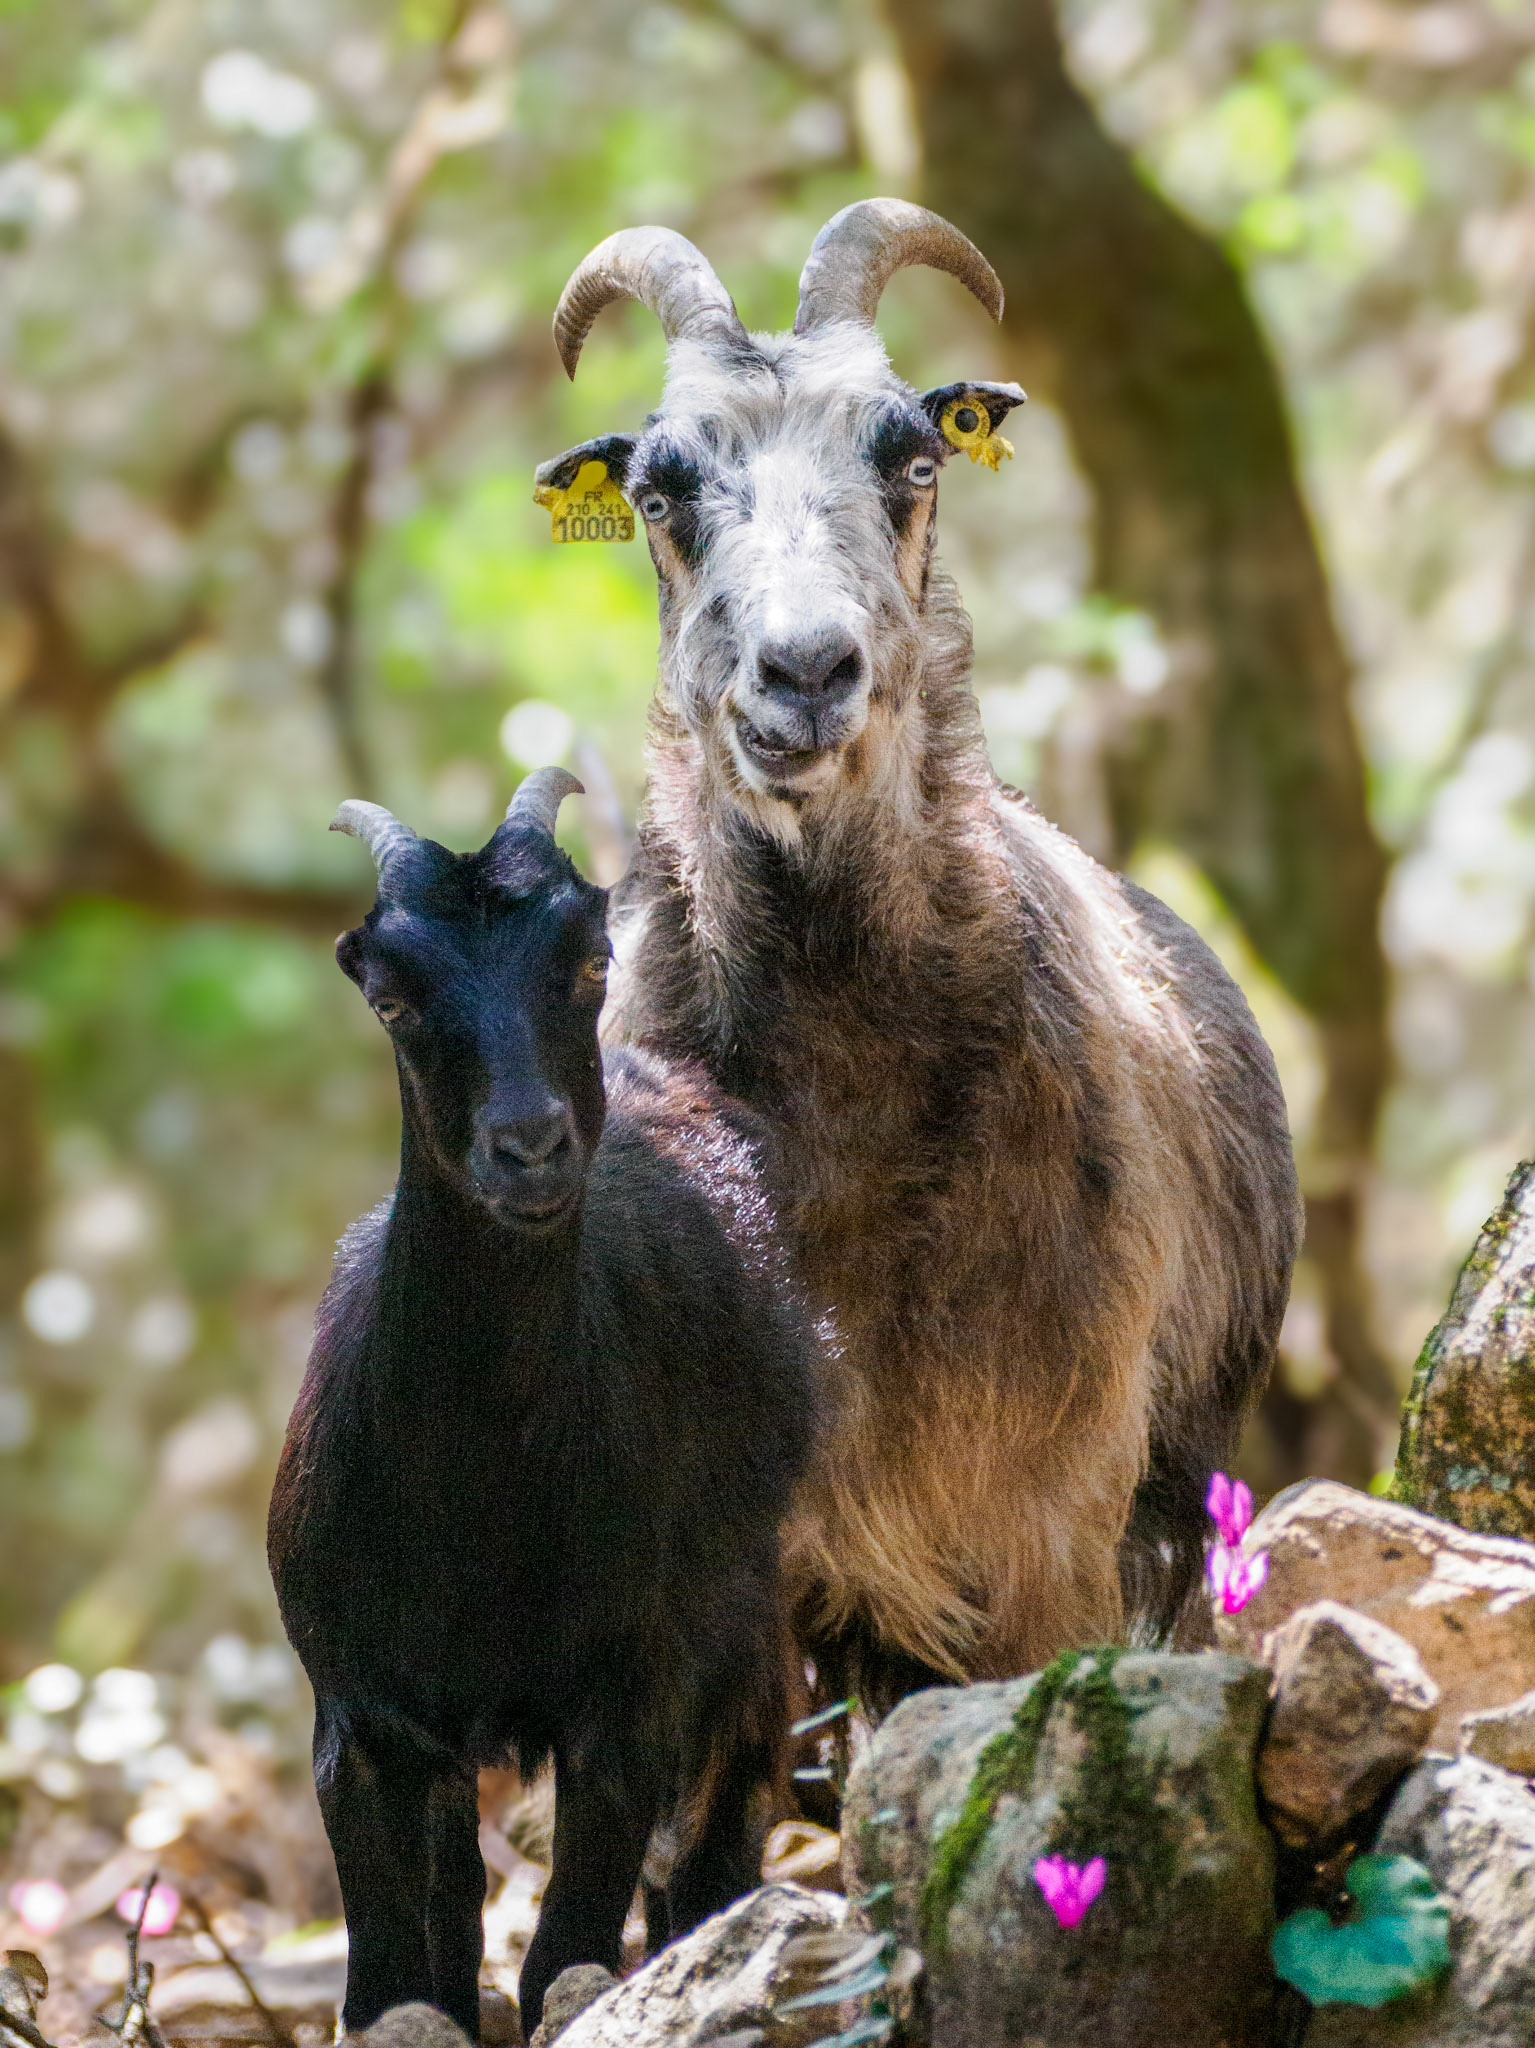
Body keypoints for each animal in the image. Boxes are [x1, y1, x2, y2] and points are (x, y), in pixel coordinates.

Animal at [266, 771, 814, 2038]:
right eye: (390, 996)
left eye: (588, 961)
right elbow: (395, 1977)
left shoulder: (623, 1689)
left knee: (715, 1830)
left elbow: (564, 1945)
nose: (527, 1145)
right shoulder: (358, 1707)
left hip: (741, 1600)